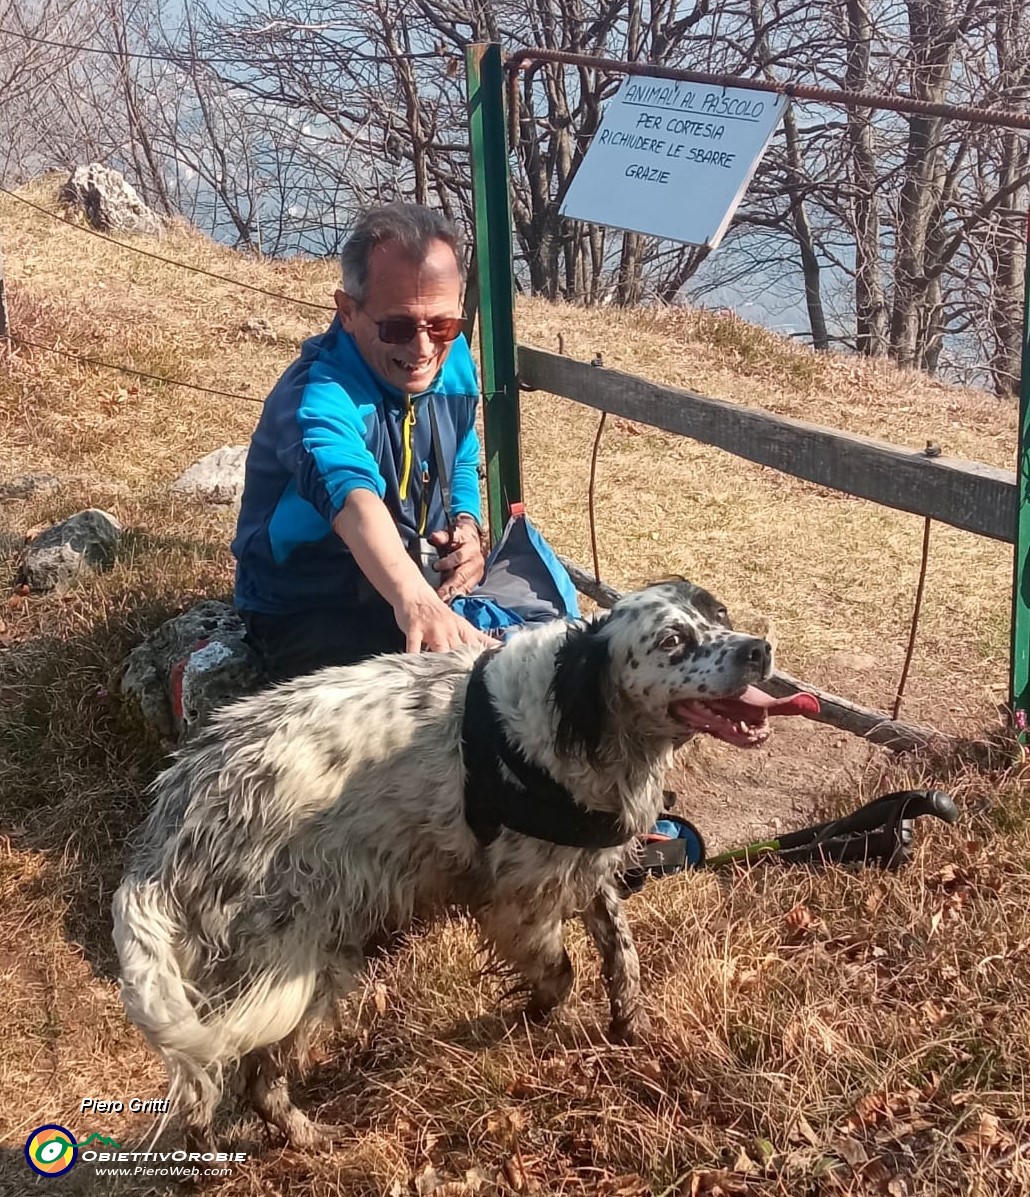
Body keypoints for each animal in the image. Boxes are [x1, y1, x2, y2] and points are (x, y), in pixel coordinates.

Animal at [110, 579, 790, 1149]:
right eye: (672, 641)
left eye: (719, 615)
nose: (760, 649)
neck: (572, 721)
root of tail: (171, 819)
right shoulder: (519, 902)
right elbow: (561, 972)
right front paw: (534, 1020)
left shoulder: (583, 868)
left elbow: (622, 953)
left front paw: (628, 1024)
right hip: (301, 963)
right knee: (255, 1075)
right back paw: (309, 1137)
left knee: (214, 1085)